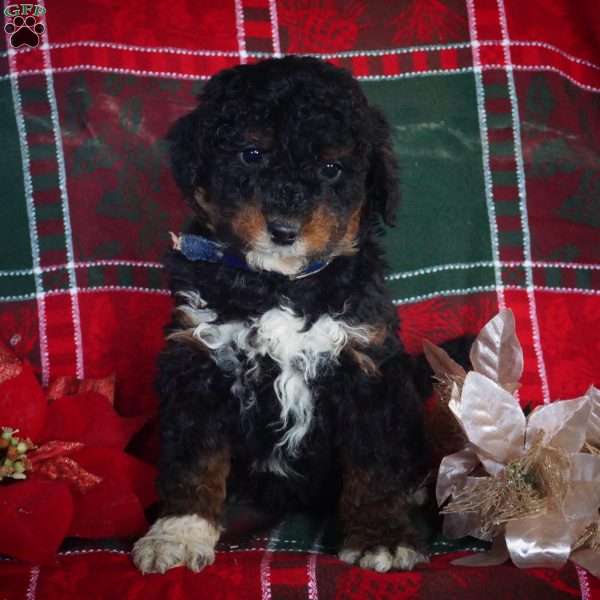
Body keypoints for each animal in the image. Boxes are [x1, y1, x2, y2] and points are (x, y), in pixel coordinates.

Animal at [132, 57, 432, 576]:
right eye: (251, 154)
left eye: (332, 169)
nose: (284, 231)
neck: (279, 285)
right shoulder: (197, 361)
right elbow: (194, 457)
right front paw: (179, 531)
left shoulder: (367, 366)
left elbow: (375, 463)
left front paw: (382, 537)